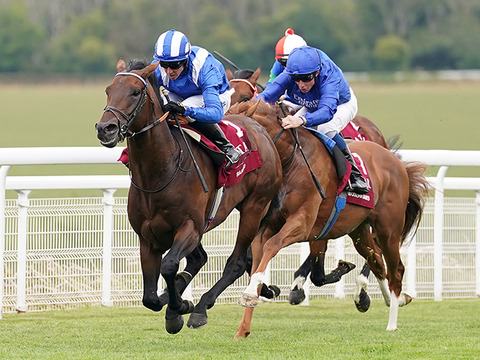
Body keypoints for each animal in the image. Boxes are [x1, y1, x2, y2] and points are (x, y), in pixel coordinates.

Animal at [95, 59, 284, 334]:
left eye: (135, 92)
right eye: (108, 90)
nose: (105, 128)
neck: (161, 170)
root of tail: (259, 128)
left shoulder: (190, 228)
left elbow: (169, 265)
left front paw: (179, 309)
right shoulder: (147, 237)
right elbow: (149, 297)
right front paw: (174, 304)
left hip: (254, 207)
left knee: (237, 261)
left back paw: (200, 308)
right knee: (202, 259)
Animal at [227, 100, 430, 338]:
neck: (291, 163)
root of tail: (396, 162)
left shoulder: (302, 223)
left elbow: (273, 245)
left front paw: (250, 294)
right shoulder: (275, 227)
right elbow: (260, 263)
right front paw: (243, 326)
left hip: (388, 229)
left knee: (396, 270)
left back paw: (392, 322)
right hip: (359, 230)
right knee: (378, 262)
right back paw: (387, 299)